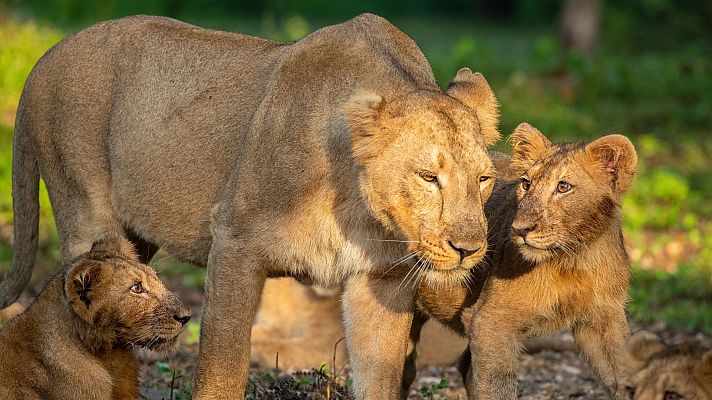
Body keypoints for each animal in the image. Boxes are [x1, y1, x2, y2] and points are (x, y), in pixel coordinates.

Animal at [414, 123, 638, 399]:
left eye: (563, 187)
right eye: (526, 183)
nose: (520, 229)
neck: (573, 258)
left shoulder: (604, 320)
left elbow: (621, 374)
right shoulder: (491, 321)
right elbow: (497, 385)